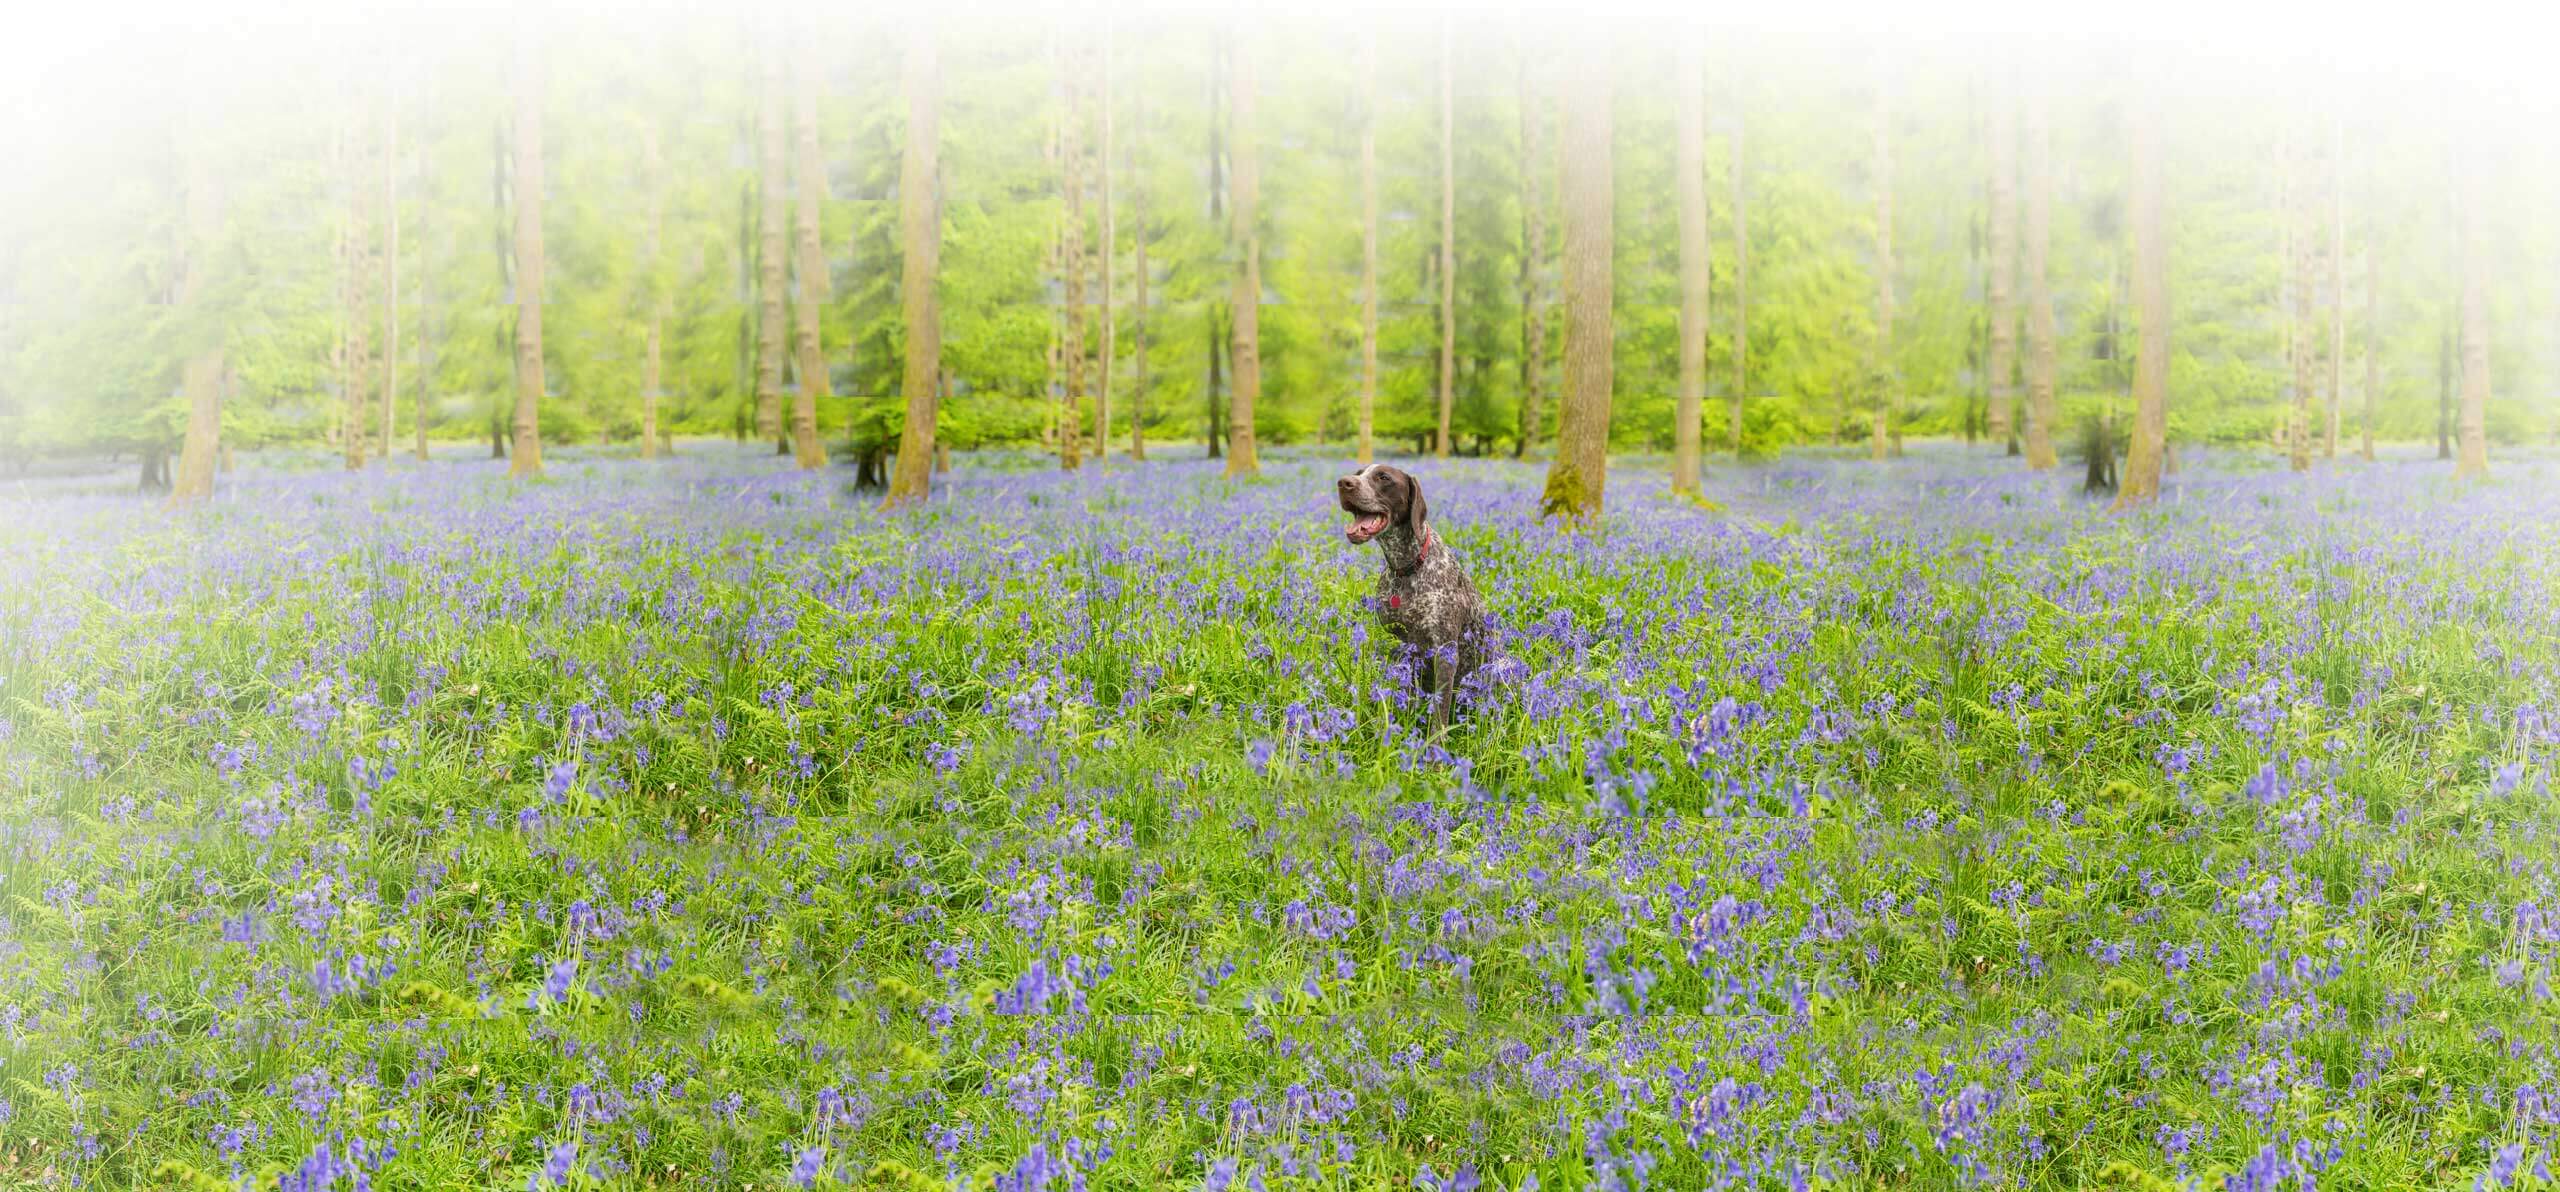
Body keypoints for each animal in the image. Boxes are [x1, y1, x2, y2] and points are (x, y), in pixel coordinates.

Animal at [1331, 462, 1495, 736]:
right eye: (1358, 474)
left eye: (1383, 477)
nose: (1344, 483)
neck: (1407, 567)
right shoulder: (1402, 646)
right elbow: (1406, 696)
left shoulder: (1445, 653)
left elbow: (1440, 713)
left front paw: (1433, 746)